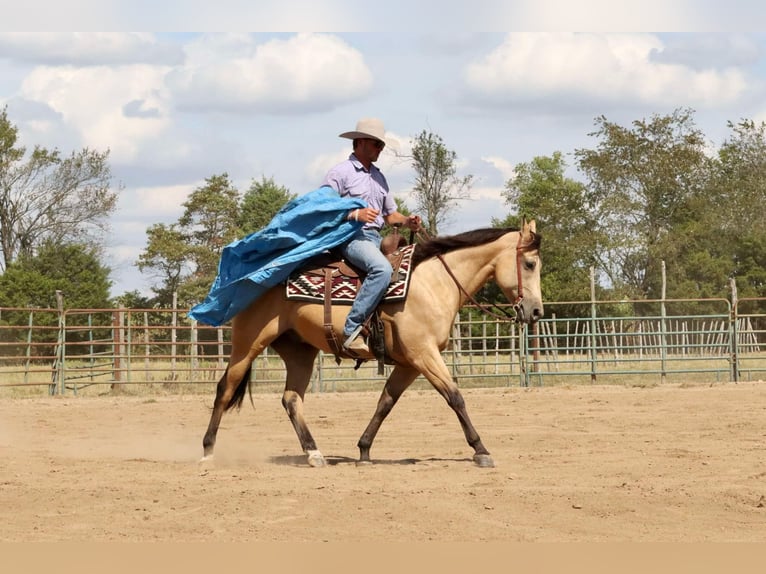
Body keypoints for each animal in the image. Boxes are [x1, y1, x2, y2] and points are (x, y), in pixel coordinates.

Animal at [201, 219, 544, 468]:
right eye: (529, 264)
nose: (536, 311)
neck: (433, 283)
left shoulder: (409, 364)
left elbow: (385, 403)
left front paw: (364, 450)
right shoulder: (424, 355)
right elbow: (455, 397)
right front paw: (481, 450)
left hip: (300, 352)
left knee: (291, 399)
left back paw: (314, 454)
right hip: (248, 343)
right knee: (224, 389)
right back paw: (207, 451)